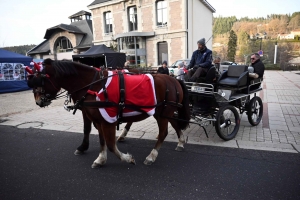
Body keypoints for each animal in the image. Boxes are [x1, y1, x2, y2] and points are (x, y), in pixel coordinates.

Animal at [27, 59, 189, 167]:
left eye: (39, 81)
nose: (38, 102)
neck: (93, 85)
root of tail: (174, 80)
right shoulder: (99, 120)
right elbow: (101, 140)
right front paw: (101, 158)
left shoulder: (108, 120)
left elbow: (110, 144)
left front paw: (127, 158)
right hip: (163, 112)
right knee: (174, 124)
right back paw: (181, 142)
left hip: (163, 113)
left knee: (163, 133)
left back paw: (152, 156)